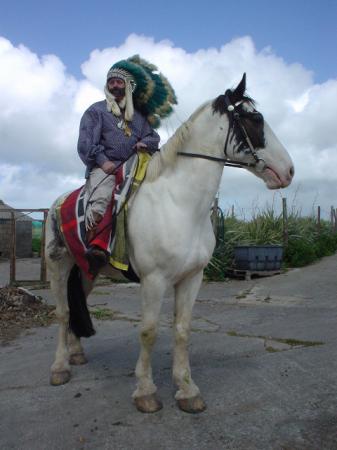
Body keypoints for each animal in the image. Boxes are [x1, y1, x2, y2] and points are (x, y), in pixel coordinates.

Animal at [46, 74, 292, 414]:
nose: (289, 171)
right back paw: (60, 367)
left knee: (75, 304)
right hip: (59, 266)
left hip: (86, 272)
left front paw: (187, 389)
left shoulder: (191, 278)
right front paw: (146, 391)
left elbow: (182, 330)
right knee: (63, 312)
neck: (179, 204)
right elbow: (149, 332)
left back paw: (77, 353)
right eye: (255, 118)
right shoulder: (154, 280)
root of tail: (58, 203)